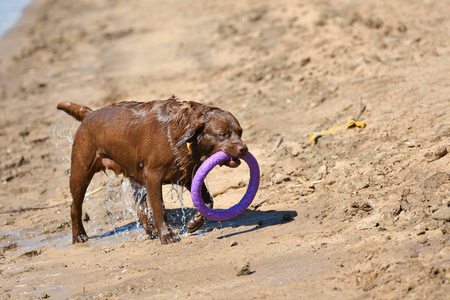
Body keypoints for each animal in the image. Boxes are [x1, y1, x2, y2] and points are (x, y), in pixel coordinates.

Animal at [57, 96, 250, 244]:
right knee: (75, 206)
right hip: (81, 170)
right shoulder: (153, 176)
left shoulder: (189, 175)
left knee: (140, 207)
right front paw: (167, 235)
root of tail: (89, 114)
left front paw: (194, 223)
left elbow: (208, 201)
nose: (244, 149)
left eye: (240, 132)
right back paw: (79, 236)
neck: (178, 132)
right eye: (222, 134)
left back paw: (150, 229)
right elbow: (159, 207)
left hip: (133, 173)